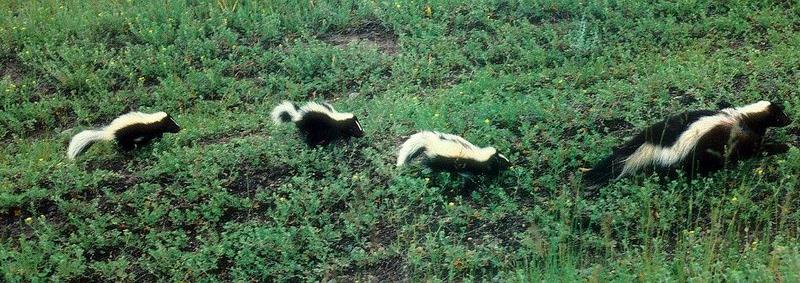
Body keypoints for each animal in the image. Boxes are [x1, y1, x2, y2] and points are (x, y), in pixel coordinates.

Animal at [580, 101, 792, 187]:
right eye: (781, 115)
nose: (790, 120)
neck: (745, 117)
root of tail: (653, 142)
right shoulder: (740, 136)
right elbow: (754, 150)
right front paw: (783, 147)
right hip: (686, 159)